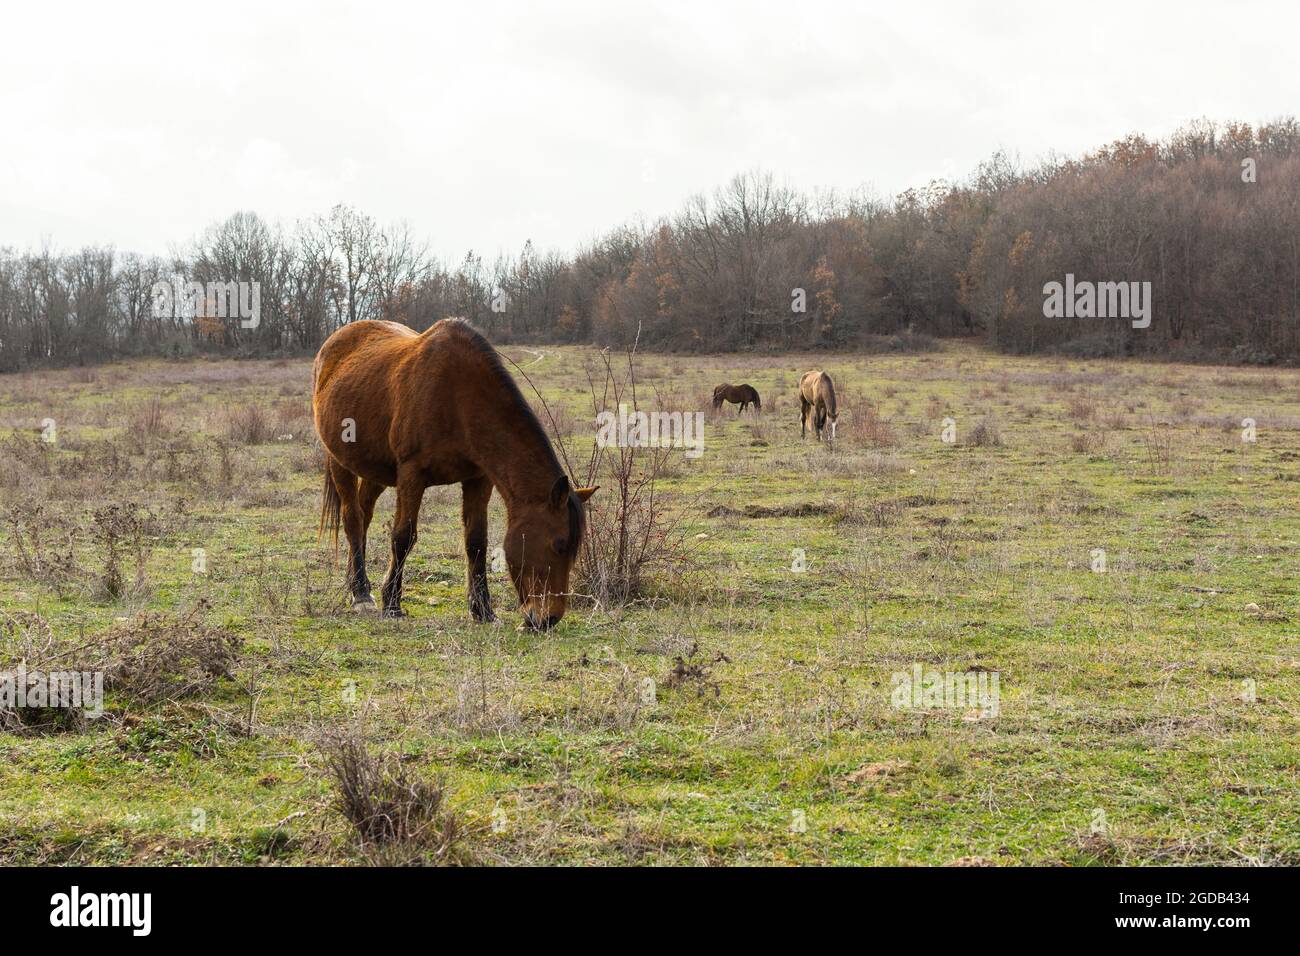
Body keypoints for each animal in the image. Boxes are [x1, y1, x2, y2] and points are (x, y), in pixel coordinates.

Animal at [314, 319, 598, 629]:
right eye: (558, 545)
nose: (548, 619)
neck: (457, 398)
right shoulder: (412, 475)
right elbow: (403, 537)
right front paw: (392, 604)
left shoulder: (478, 479)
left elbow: (476, 541)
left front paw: (483, 610)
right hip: (340, 461)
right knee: (353, 519)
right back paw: (362, 593)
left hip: (376, 470)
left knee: (364, 515)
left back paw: (355, 583)